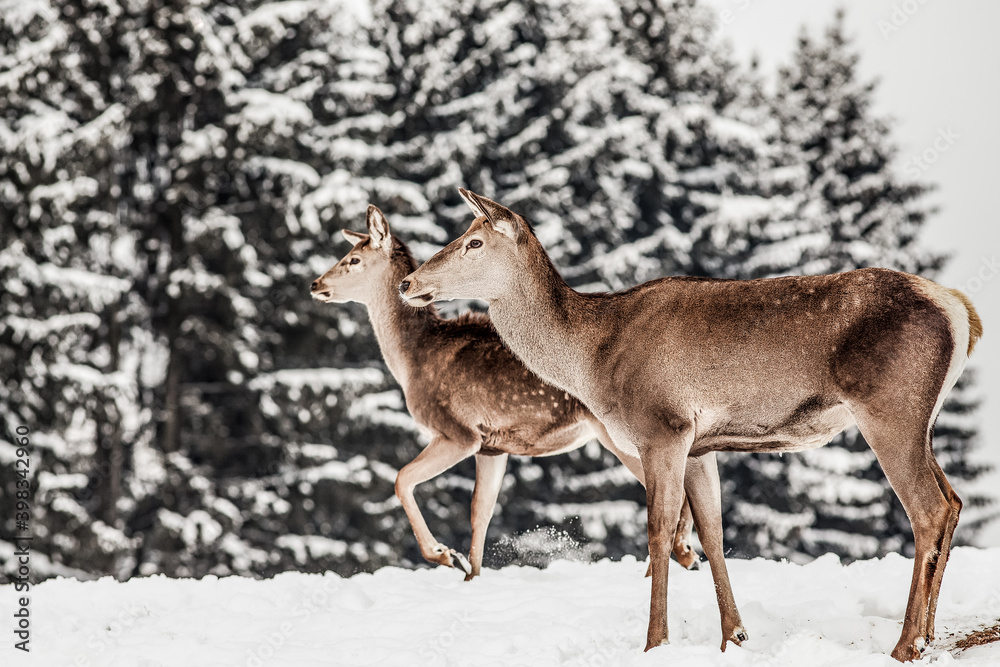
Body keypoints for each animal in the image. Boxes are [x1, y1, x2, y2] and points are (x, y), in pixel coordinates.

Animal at [310, 205, 707, 581]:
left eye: (353, 260)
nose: (315, 284)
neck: (414, 359)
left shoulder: (458, 431)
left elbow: (401, 478)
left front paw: (444, 555)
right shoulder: (493, 446)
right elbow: (480, 510)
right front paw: (471, 574)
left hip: (619, 433)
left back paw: (682, 556)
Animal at [399, 189, 983, 661]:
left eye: (474, 242)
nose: (407, 282)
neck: (592, 357)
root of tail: (962, 312)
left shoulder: (664, 426)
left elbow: (658, 531)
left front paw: (655, 640)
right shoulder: (701, 445)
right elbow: (714, 534)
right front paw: (734, 636)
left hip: (890, 410)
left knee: (928, 510)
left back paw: (908, 642)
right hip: (921, 420)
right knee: (953, 501)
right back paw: (931, 635)